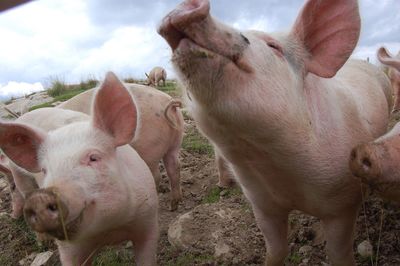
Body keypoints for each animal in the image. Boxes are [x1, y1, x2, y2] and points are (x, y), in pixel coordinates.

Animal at [0, 72, 159, 266]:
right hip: (20, 177)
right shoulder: (69, 248)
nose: (41, 197)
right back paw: (43, 243)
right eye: (44, 170)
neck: (109, 231)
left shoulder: (148, 222)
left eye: (93, 158)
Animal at [158, 1, 392, 264]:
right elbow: (276, 250)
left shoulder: (343, 204)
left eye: (274, 46)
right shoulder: (262, 205)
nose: (185, 7)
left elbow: (338, 252)